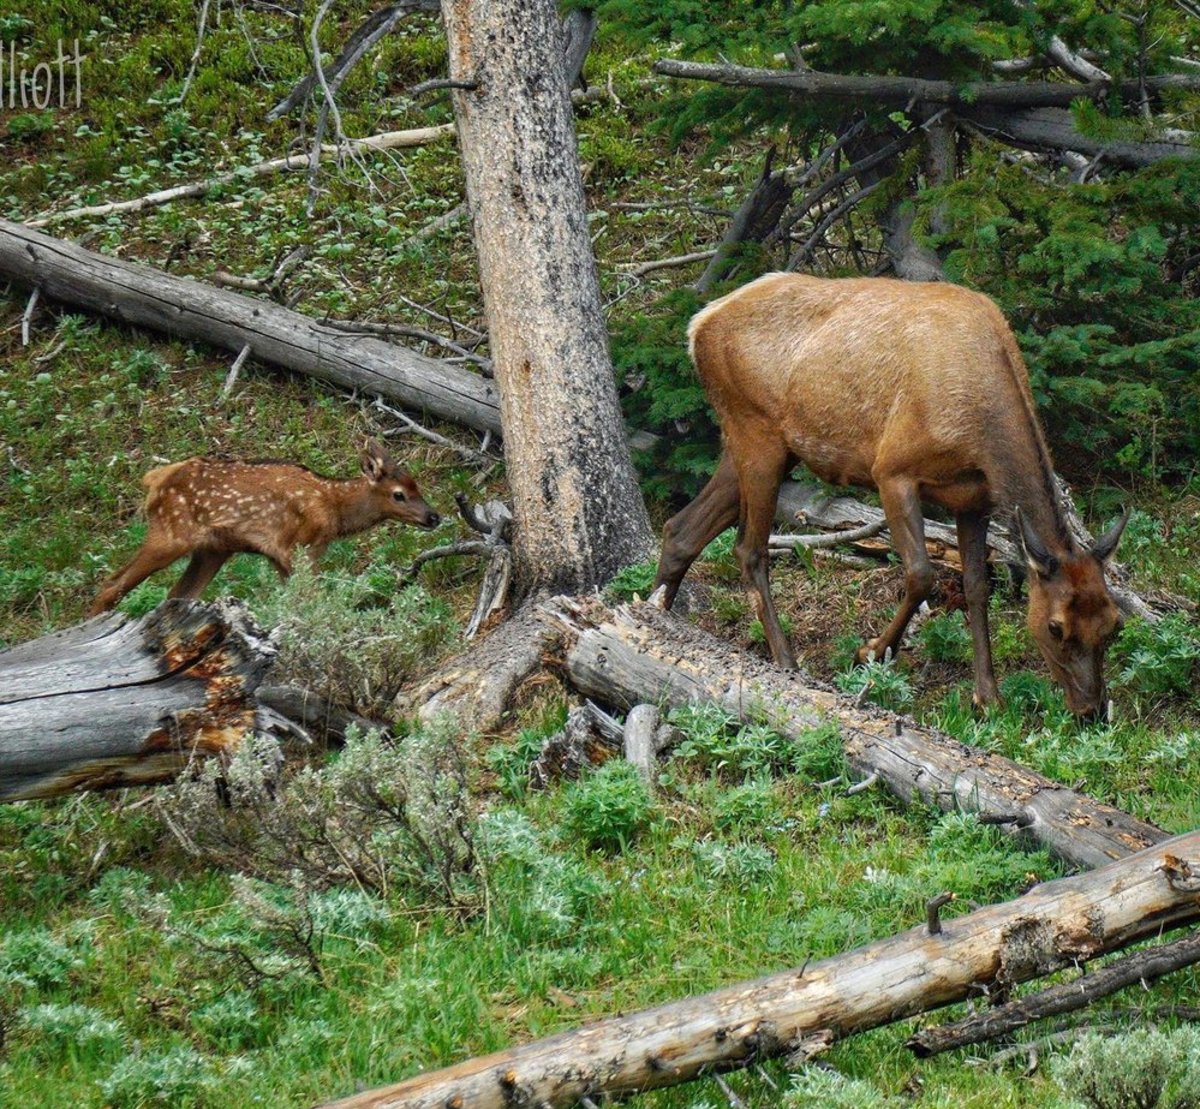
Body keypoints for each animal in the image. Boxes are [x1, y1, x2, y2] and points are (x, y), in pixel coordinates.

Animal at [89, 439, 441, 616]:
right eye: (399, 494)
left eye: (418, 486)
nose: (434, 517)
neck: (334, 511)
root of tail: (155, 479)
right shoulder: (297, 547)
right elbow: (312, 599)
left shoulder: (278, 556)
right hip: (172, 532)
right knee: (111, 584)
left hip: (213, 549)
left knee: (177, 595)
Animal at [652, 273, 1129, 720]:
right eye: (1055, 627)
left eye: (1113, 625)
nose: (1090, 710)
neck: (977, 431)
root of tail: (699, 324)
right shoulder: (893, 471)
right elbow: (921, 574)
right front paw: (870, 651)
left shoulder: (974, 499)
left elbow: (977, 586)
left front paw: (988, 696)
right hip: (756, 431)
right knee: (748, 549)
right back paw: (786, 661)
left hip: (765, 444)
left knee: (681, 529)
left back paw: (654, 614)